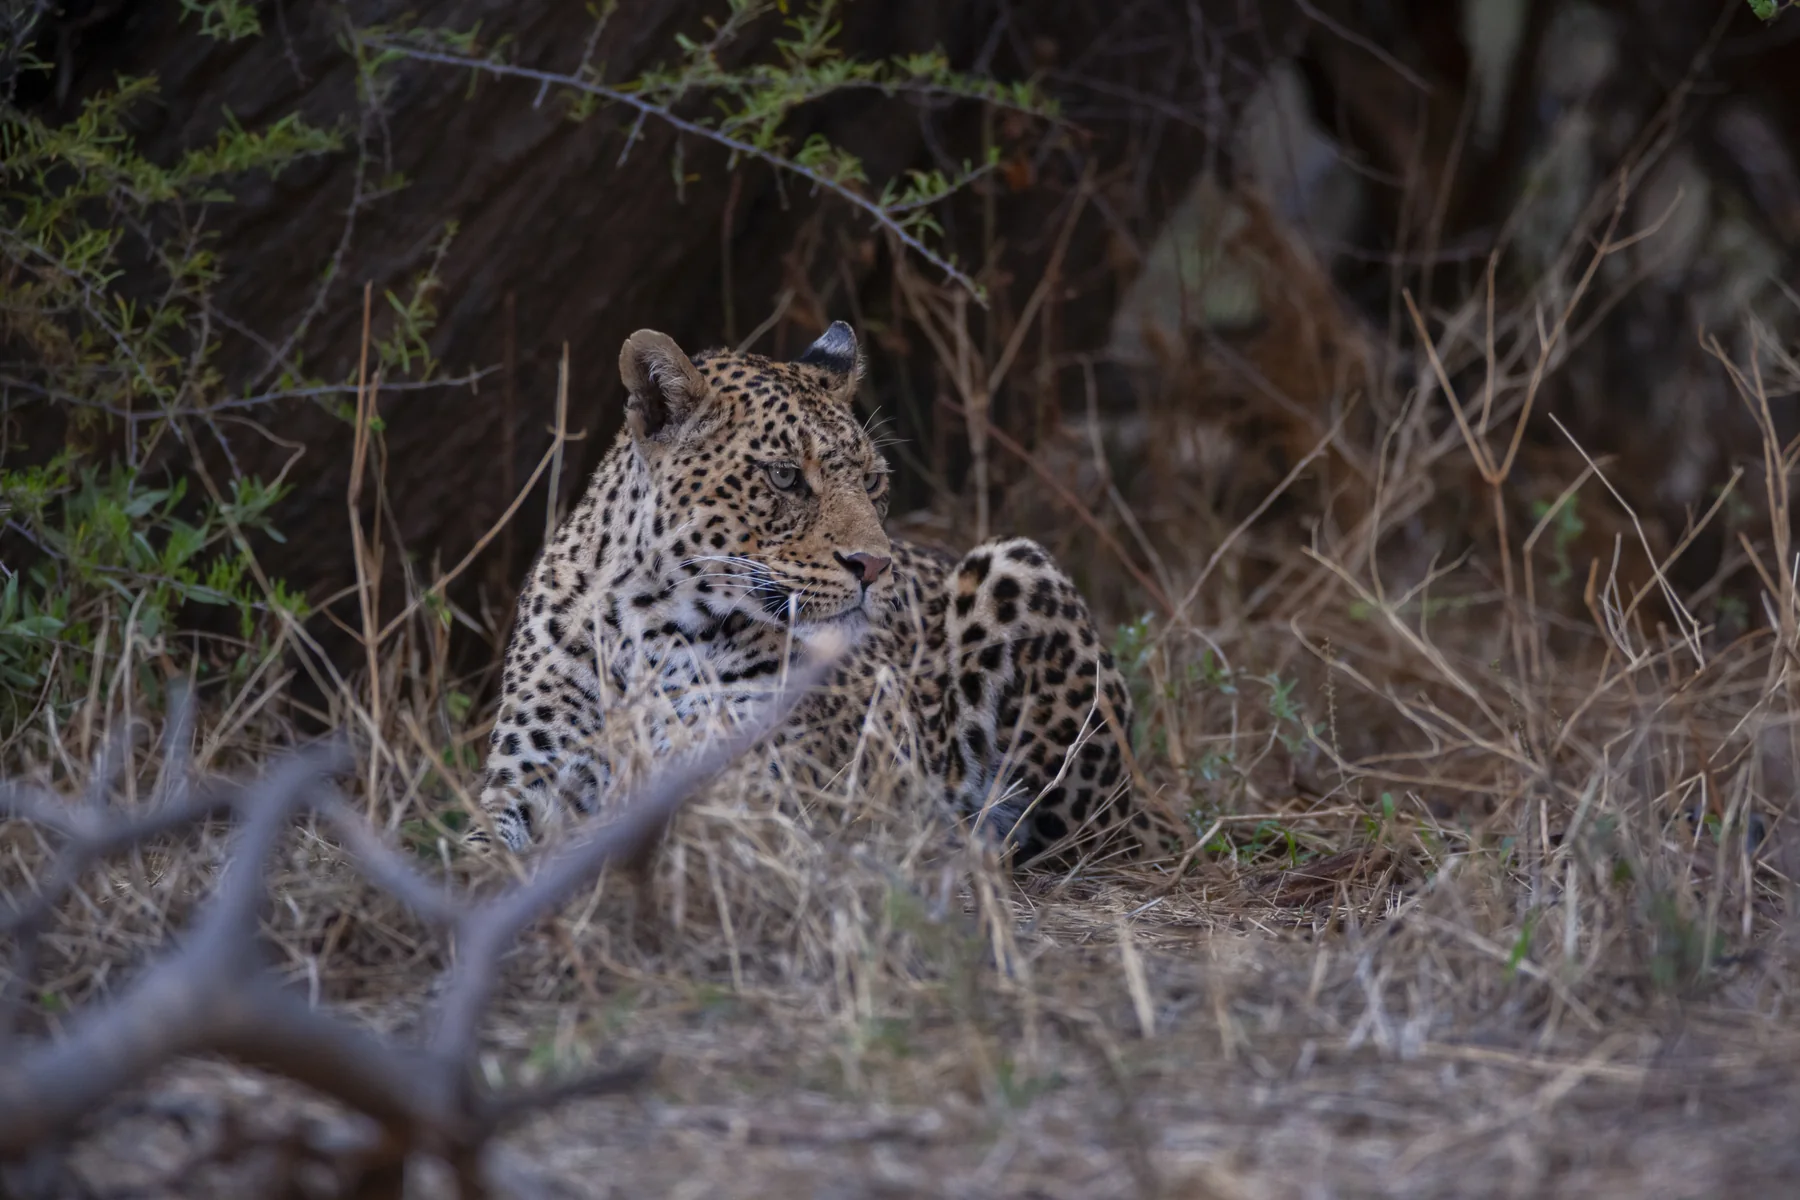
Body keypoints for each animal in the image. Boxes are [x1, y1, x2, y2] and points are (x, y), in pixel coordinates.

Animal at [471, 320, 1170, 867]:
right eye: (785, 477)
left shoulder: (775, 781)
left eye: (873, 480)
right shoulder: (526, 781)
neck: (653, 620)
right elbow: (477, 854)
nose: (875, 565)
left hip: (1016, 566)